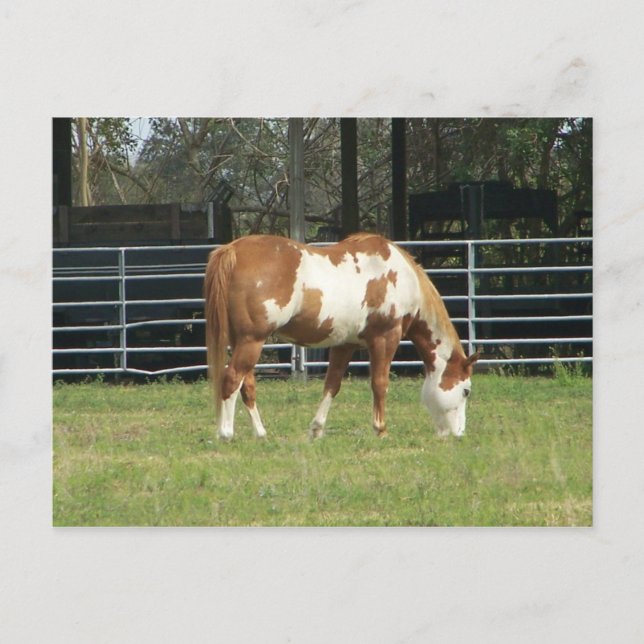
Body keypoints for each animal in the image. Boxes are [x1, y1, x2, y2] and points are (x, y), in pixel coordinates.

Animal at [203, 233, 478, 440]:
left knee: (246, 385)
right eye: (466, 391)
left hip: (242, 341)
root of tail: (232, 250)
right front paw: (381, 430)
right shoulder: (385, 339)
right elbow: (379, 383)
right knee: (232, 379)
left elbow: (332, 385)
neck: (402, 279)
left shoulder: (345, 344)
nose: (458, 434)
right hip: (252, 340)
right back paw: (225, 433)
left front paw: (316, 430)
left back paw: (260, 434)